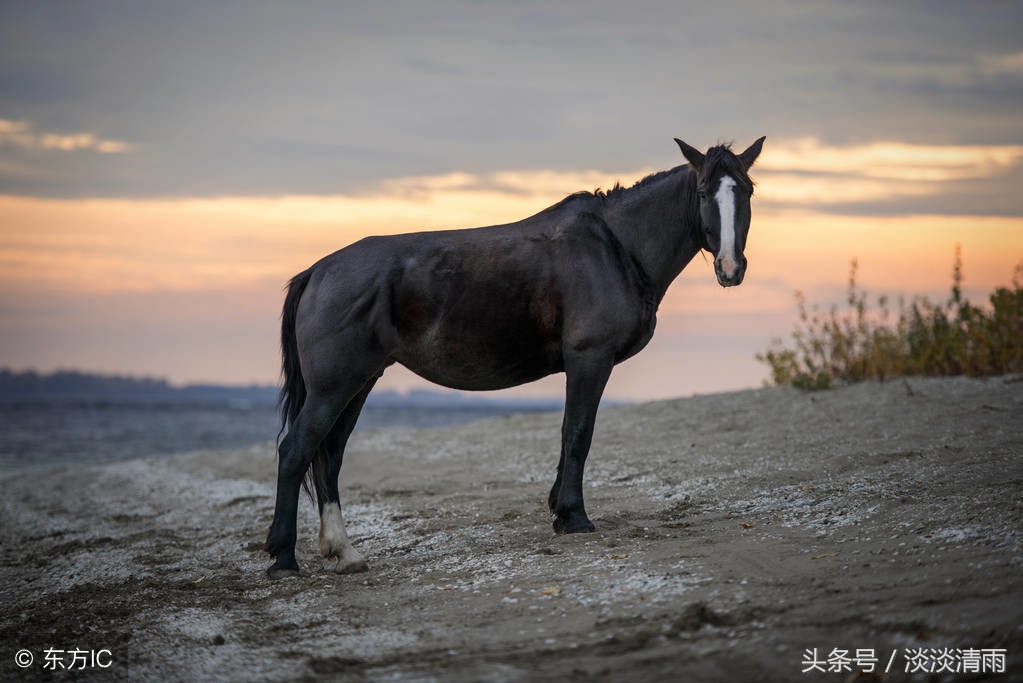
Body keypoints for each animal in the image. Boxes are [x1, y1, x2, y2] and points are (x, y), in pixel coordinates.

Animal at [259, 137, 765, 576]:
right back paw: (284, 558)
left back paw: (344, 551)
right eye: (703, 191)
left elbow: (568, 434)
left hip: (359, 383)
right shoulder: (590, 359)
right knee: (296, 450)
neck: (616, 248)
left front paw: (560, 511)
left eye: (747, 190)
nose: (730, 268)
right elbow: (578, 434)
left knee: (329, 456)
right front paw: (574, 517)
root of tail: (317, 271)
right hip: (335, 386)